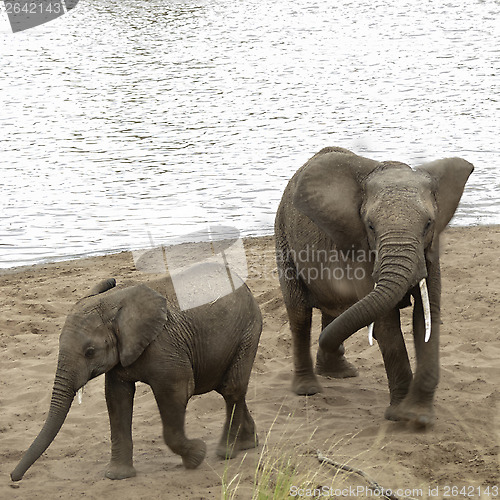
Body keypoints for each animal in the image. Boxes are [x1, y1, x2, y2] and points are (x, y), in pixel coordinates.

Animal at [10, 262, 262, 480]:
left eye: (90, 352)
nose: (14, 477)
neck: (112, 303)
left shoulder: (164, 346)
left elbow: (177, 391)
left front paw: (197, 455)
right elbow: (116, 399)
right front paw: (117, 476)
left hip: (248, 329)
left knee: (231, 388)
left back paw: (225, 452)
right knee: (229, 388)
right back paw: (247, 444)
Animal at [276, 146, 474, 428]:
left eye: (428, 224)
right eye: (370, 226)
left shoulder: (429, 251)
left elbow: (426, 315)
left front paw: (419, 417)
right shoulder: (362, 249)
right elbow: (386, 323)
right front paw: (400, 416)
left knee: (335, 310)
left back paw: (339, 372)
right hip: (283, 239)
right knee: (300, 314)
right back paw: (308, 389)